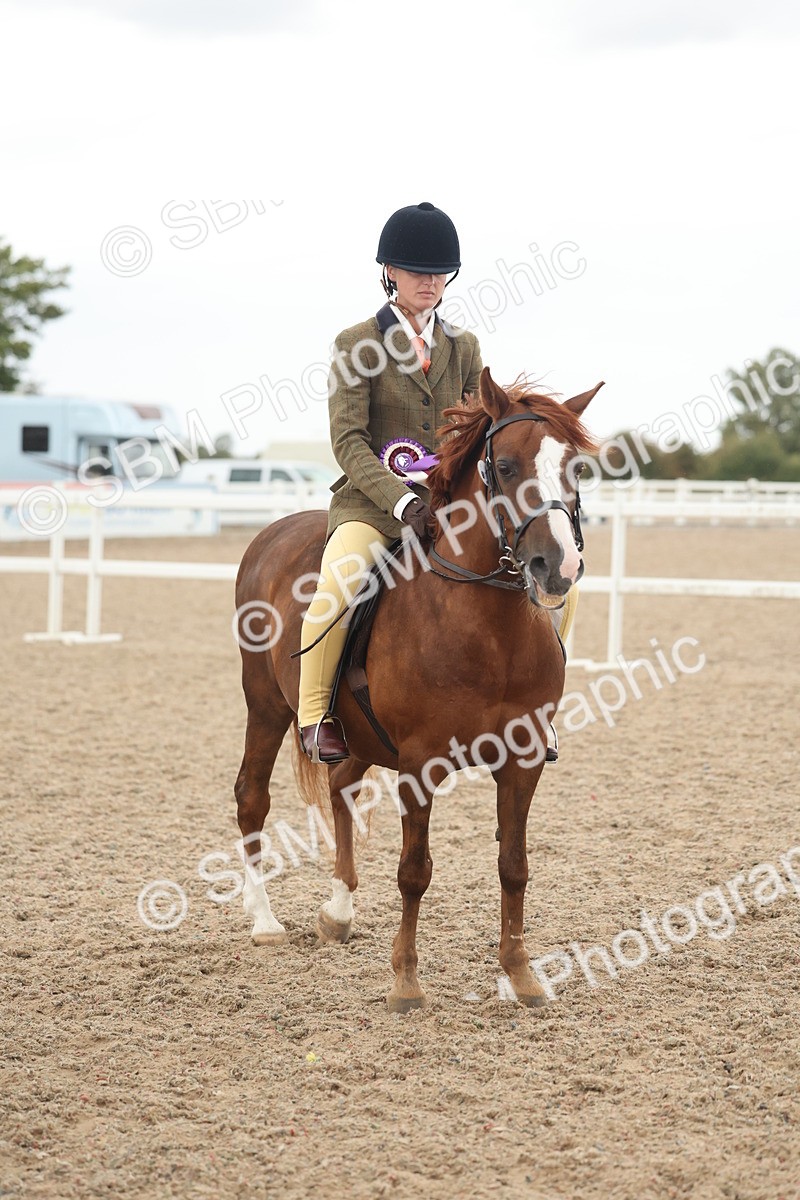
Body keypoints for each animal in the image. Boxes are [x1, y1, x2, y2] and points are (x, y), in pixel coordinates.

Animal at [233, 366, 601, 1011]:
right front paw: (405, 981)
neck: (490, 630)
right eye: (506, 466)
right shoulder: (420, 762)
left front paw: (520, 974)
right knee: (252, 797)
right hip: (267, 706)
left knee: (341, 788)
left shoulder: (525, 759)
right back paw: (265, 921)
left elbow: (514, 865)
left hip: (353, 733)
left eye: (575, 468)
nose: (556, 567)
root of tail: (272, 534)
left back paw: (338, 911)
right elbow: (414, 871)